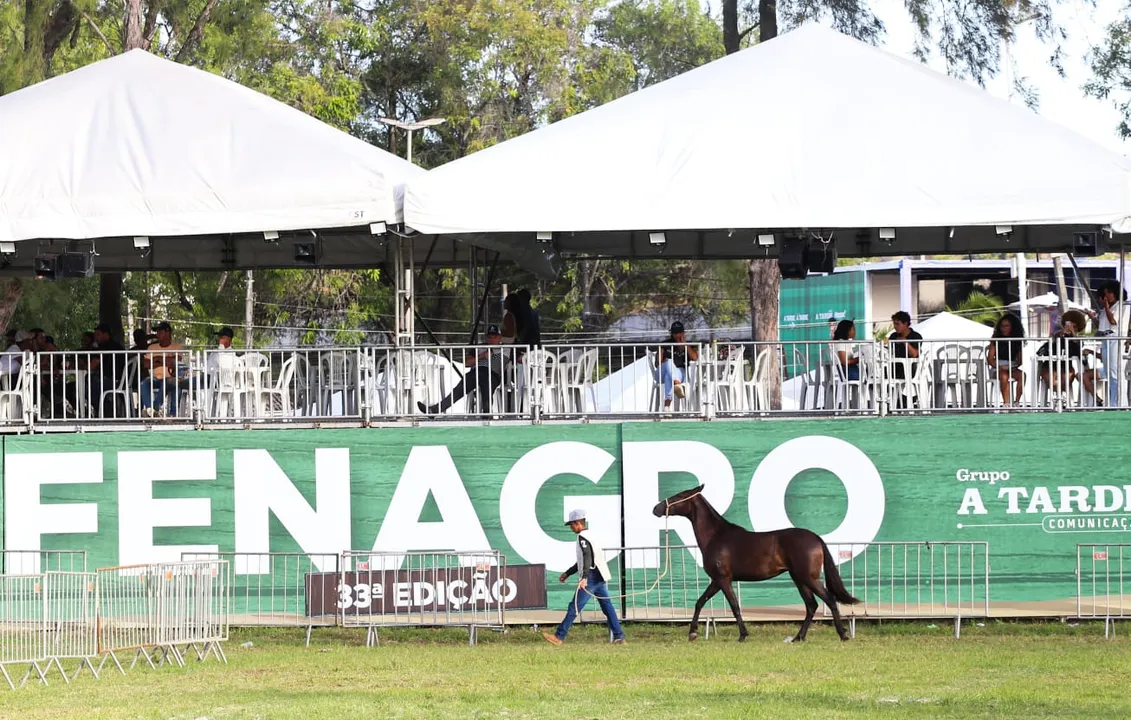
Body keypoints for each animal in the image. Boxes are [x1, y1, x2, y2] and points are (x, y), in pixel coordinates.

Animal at [655, 483, 855, 642]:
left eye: (679, 496)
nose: (656, 508)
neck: (716, 536)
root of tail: (816, 538)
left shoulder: (723, 579)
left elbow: (734, 606)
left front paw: (742, 635)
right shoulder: (717, 581)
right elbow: (700, 602)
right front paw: (693, 633)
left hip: (808, 578)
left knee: (829, 600)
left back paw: (843, 635)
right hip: (799, 578)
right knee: (811, 605)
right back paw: (799, 637)